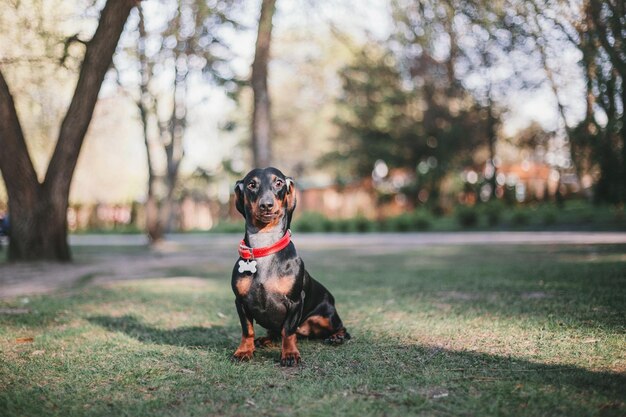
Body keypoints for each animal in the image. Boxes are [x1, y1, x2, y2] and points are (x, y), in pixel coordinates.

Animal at [230, 166, 348, 364]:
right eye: (251, 185)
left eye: (279, 183)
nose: (266, 205)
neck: (265, 246)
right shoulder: (240, 302)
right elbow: (248, 330)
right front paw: (244, 350)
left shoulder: (295, 302)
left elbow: (288, 331)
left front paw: (290, 354)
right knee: (274, 333)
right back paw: (265, 339)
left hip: (326, 315)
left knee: (343, 330)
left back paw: (337, 336)